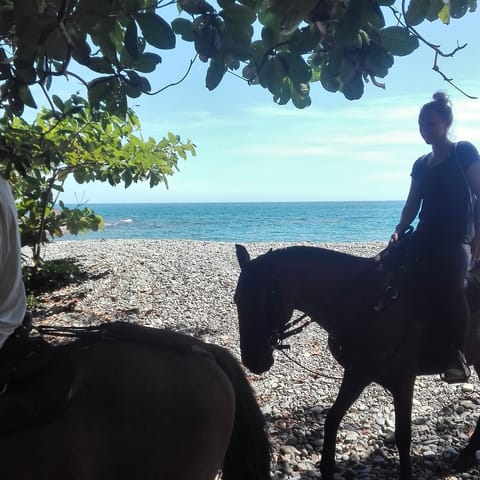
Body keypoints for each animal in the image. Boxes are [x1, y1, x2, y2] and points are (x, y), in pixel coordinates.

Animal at [234, 244, 480, 480]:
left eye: (265, 301)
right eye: (237, 299)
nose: (253, 360)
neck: (366, 304)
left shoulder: (403, 380)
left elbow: (403, 435)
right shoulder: (357, 374)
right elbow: (332, 419)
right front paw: (326, 469)